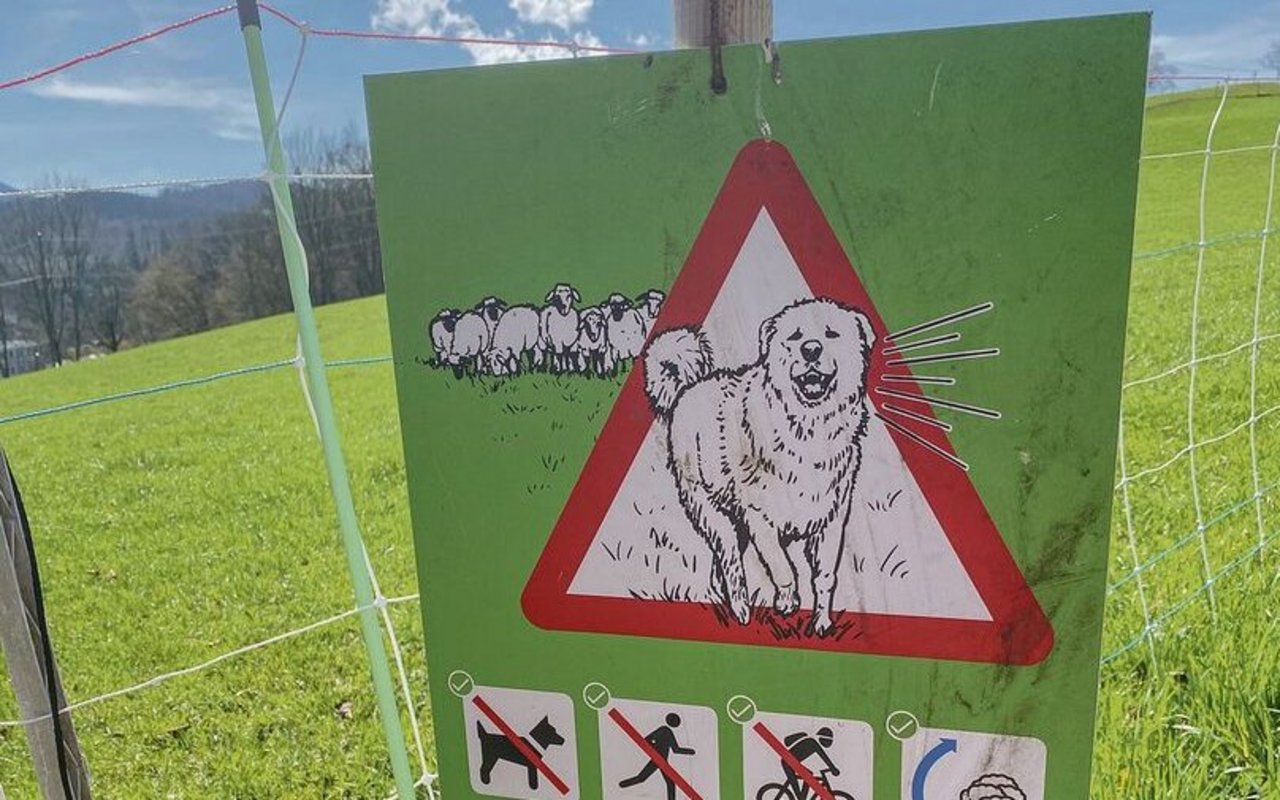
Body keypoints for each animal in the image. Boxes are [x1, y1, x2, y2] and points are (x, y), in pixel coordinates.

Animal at [645, 296, 875, 632]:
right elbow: (783, 567)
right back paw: (741, 612)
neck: (807, 429)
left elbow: (825, 577)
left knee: (720, 567)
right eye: (794, 336)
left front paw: (821, 621)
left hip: (735, 522)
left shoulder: (830, 521)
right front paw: (788, 601)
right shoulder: (761, 521)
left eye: (831, 333)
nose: (811, 349)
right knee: (731, 563)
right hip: (712, 512)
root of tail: (689, 389)